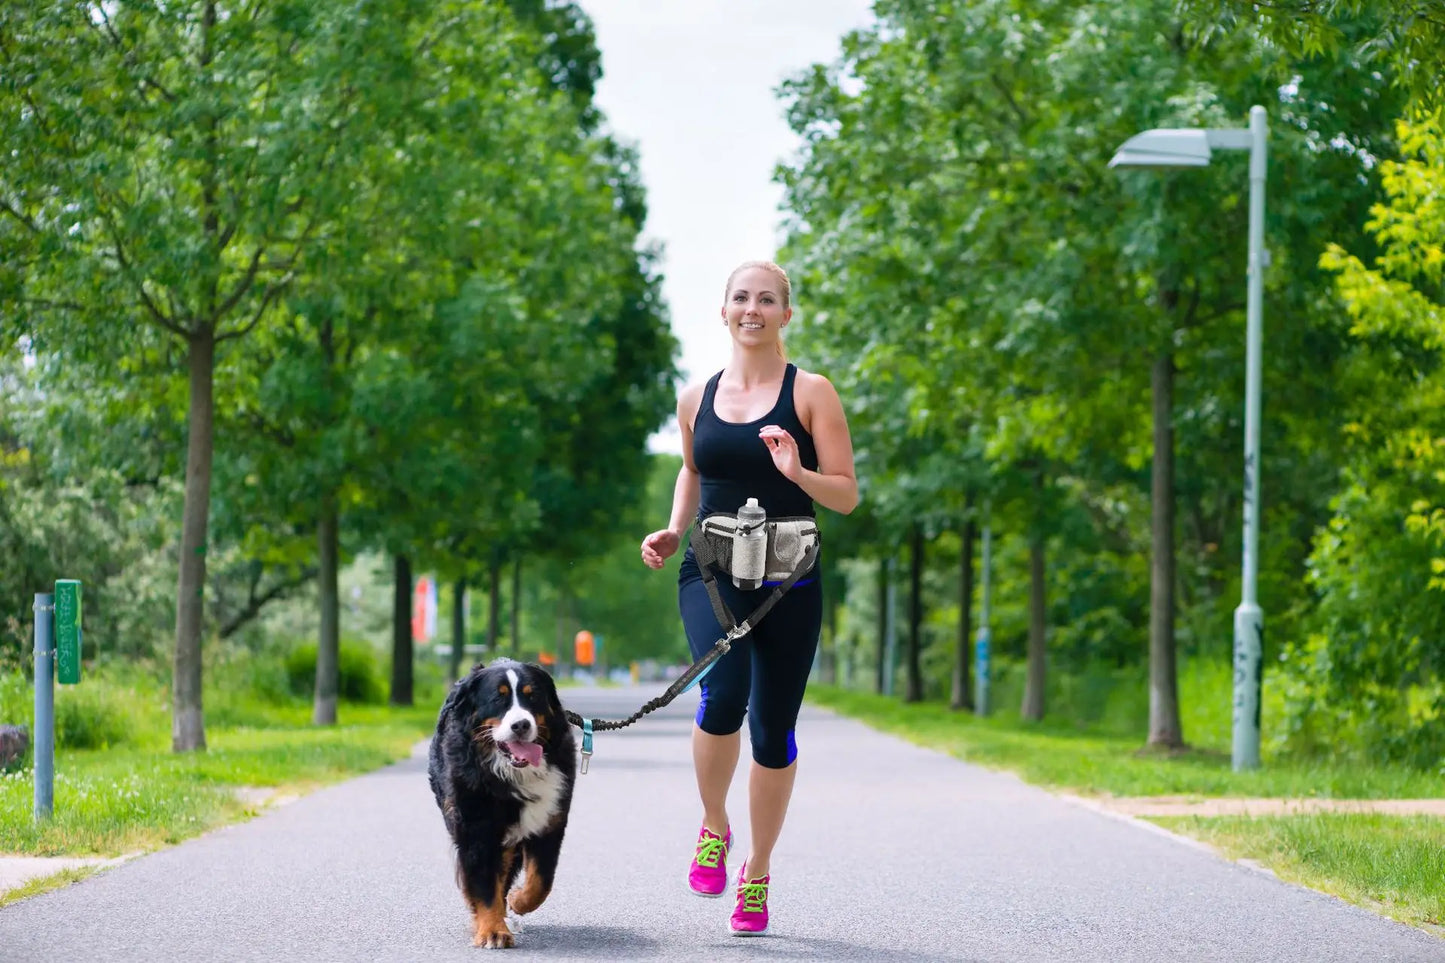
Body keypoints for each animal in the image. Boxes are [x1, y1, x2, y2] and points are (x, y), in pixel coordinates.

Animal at [424, 659, 578, 942]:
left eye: (533, 696)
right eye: (498, 698)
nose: (521, 725)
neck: (512, 773)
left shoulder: (550, 820)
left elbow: (542, 880)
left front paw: (518, 900)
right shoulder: (476, 826)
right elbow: (485, 884)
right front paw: (492, 930)